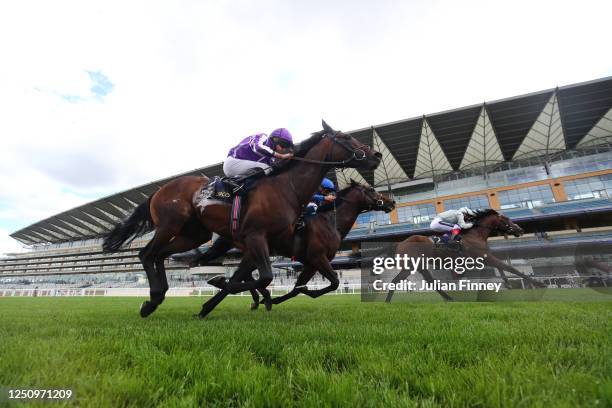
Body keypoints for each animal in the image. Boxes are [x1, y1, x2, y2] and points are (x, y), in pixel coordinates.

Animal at [191, 180, 396, 308]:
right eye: (371, 190)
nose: (391, 201)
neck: (331, 221)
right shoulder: (318, 257)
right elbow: (334, 282)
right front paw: (301, 293)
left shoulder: (311, 264)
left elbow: (297, 289)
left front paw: (278, 298)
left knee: (243, 272)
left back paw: (254, 296)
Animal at [384, 210, 544, 302]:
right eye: (506, 219)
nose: (520, 230)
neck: (475, 234)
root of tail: (399, 244)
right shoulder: (484, 257)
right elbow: (510, 268)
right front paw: (539, 283)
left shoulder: (482, 258)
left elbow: (502, 268)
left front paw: (508, 283)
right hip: (410, 267)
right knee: (395, 281)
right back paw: (387, 302)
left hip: (421, 266)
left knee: (431, 282)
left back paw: (450, 298)